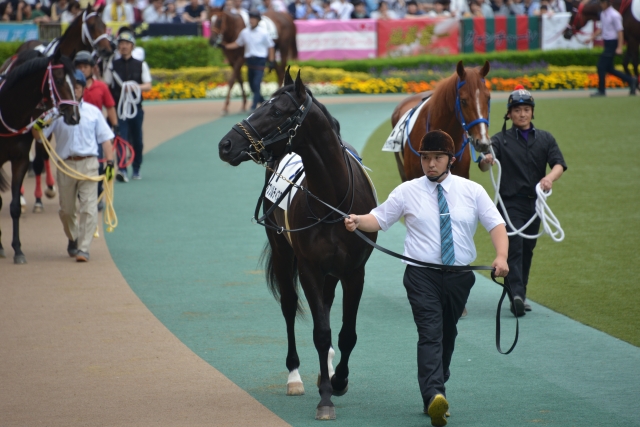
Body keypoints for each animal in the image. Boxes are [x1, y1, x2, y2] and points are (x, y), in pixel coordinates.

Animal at [219, 71, 378, 422]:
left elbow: (346, 333)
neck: (333, 202)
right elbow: (321, 331)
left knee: (327, 306)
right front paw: (326, 398)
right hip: (281, 250)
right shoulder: (308, 267)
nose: (226, 145)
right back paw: (295, 376)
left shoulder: (354, 271)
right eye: (260, 104)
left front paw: (338, 380)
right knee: (290, 306)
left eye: (277, 111)